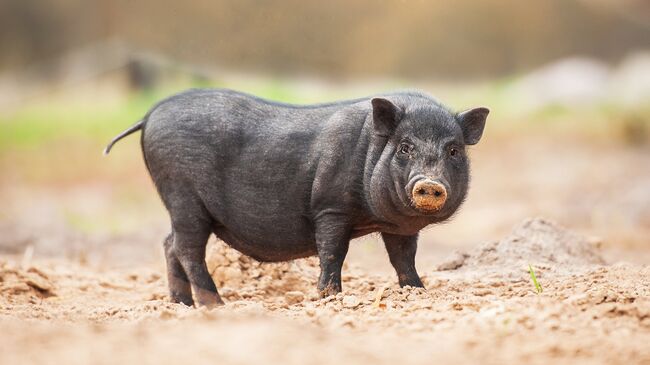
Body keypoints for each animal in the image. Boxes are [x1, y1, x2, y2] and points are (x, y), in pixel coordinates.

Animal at [104, 89, 486, 306]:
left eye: (453, 150)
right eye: (405, 147)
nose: (430, 184)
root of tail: (149, 115)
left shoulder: (400, 228)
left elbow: (403, 259)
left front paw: (418, 293)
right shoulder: (330, 207)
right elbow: (333, 252)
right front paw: (330, 297)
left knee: (169, 244)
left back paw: (180, 306)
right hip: (183, 194)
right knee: (186, 249)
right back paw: (216, 306)